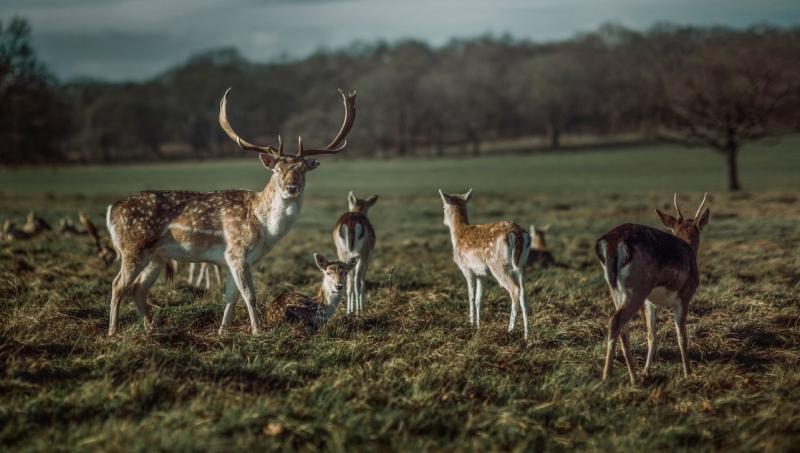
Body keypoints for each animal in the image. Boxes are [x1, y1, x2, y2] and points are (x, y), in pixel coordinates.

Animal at [105, 88, 356, 336]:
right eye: (276, 169)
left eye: (303, 170)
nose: (291, 187)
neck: (263, 227)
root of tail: (111, 209)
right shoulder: (237, 252)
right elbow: (250, 295)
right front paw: (257, 332)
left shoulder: (229, 259)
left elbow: (231, 297)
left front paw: (222, 332)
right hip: (133, 247)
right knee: (117, 285)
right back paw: (113, 332)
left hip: (156, 256)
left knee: (138, 289)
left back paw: (152, 329)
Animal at [439, 189, 532, 339]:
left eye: (443, 207)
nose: (444, 221)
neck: (458, 234)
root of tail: (517, 234)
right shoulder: (482, 274)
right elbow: (479, 299)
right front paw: (478, 326)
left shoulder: (467, 269)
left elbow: (471, 297)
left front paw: (471, 324)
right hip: (521, 265)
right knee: (523, 292)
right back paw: (527, 334)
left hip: (498, 265)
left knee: (515, 290)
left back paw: (510, 330)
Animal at [595, 193, 710, 385]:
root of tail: (612, 243)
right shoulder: (684, 296)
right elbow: (681, 336)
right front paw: (688, 373)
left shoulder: (650, 302)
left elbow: (651, 336)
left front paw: (646, 372)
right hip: (637, 288)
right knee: (615, 321)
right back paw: (606, 376)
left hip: (617, 290)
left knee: (623, 329)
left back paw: (634, 377)